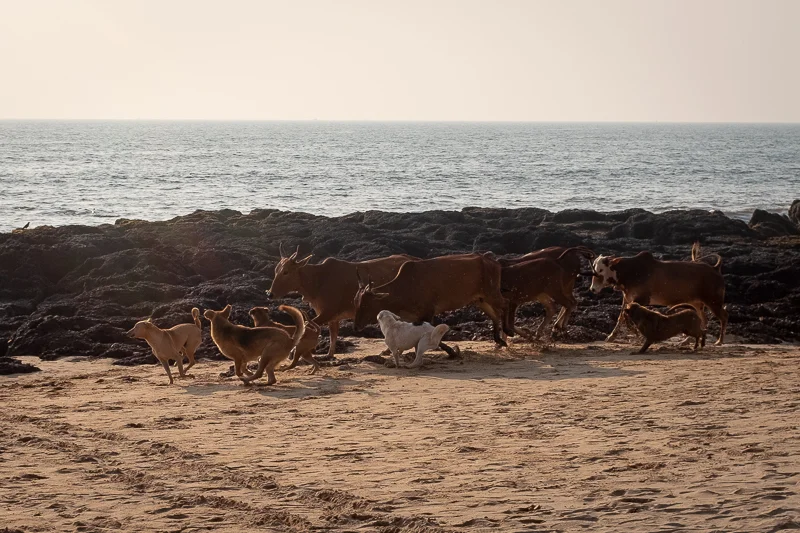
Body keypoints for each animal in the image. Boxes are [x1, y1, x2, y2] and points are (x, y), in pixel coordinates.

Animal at [266, 245, 416, 357]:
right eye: (276, 270)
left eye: (286, 272)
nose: (270, 294)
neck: (317, 280)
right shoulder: (332, 316)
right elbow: (333, 335)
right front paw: (329, 354)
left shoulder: (327, 312)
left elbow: (307, 326)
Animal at [352, 253, 512, 348]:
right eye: (356, 301)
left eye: (367, 304)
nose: (356, 326)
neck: (404, 287)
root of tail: (492, 261)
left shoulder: (428, 312)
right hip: (480, 299)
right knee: (494, 314)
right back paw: (499, 340)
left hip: (491, 292)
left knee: (506, 305)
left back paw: (508, 331)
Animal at [590, 247, 727, 345]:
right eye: (594, 268)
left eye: (601, 270)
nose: (593, 289)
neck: (629, 272)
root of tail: (715, 269)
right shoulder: (627, 298)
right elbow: (621, 317)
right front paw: (611, 337)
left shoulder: (642, 299)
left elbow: (625, 316)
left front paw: (636, 333)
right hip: (697, 303)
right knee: (703, 319)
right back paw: (687, 340)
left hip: (713, 301)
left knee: (723, 316)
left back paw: (719, 341)